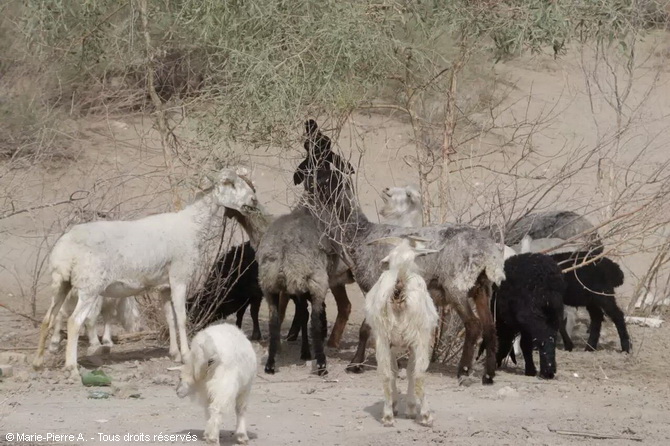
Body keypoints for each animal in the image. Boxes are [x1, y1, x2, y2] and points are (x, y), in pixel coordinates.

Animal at [33, 168, 260, 376]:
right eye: (229, 183)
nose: (253, 200)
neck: (192, 226)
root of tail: (65, 250)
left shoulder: (164, 286)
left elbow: (170, 318)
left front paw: (174, 353)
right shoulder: (179, 277)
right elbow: (181, 317)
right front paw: (186, 355)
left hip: (61, 282)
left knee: (48, 318)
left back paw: (38, 362)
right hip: (89, 286)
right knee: (74, 322)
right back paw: (72, 367)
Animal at [364, 237, 438, 428]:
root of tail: (399, 285)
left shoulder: (391, 343)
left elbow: (394, 371)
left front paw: (395, 405)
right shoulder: (413, 343)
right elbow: (410, 371)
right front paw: (410, 408)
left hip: (382, 337)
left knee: (385, 374)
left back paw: (388, 416)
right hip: (420, 336)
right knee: (419, 374)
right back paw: (426, 416)